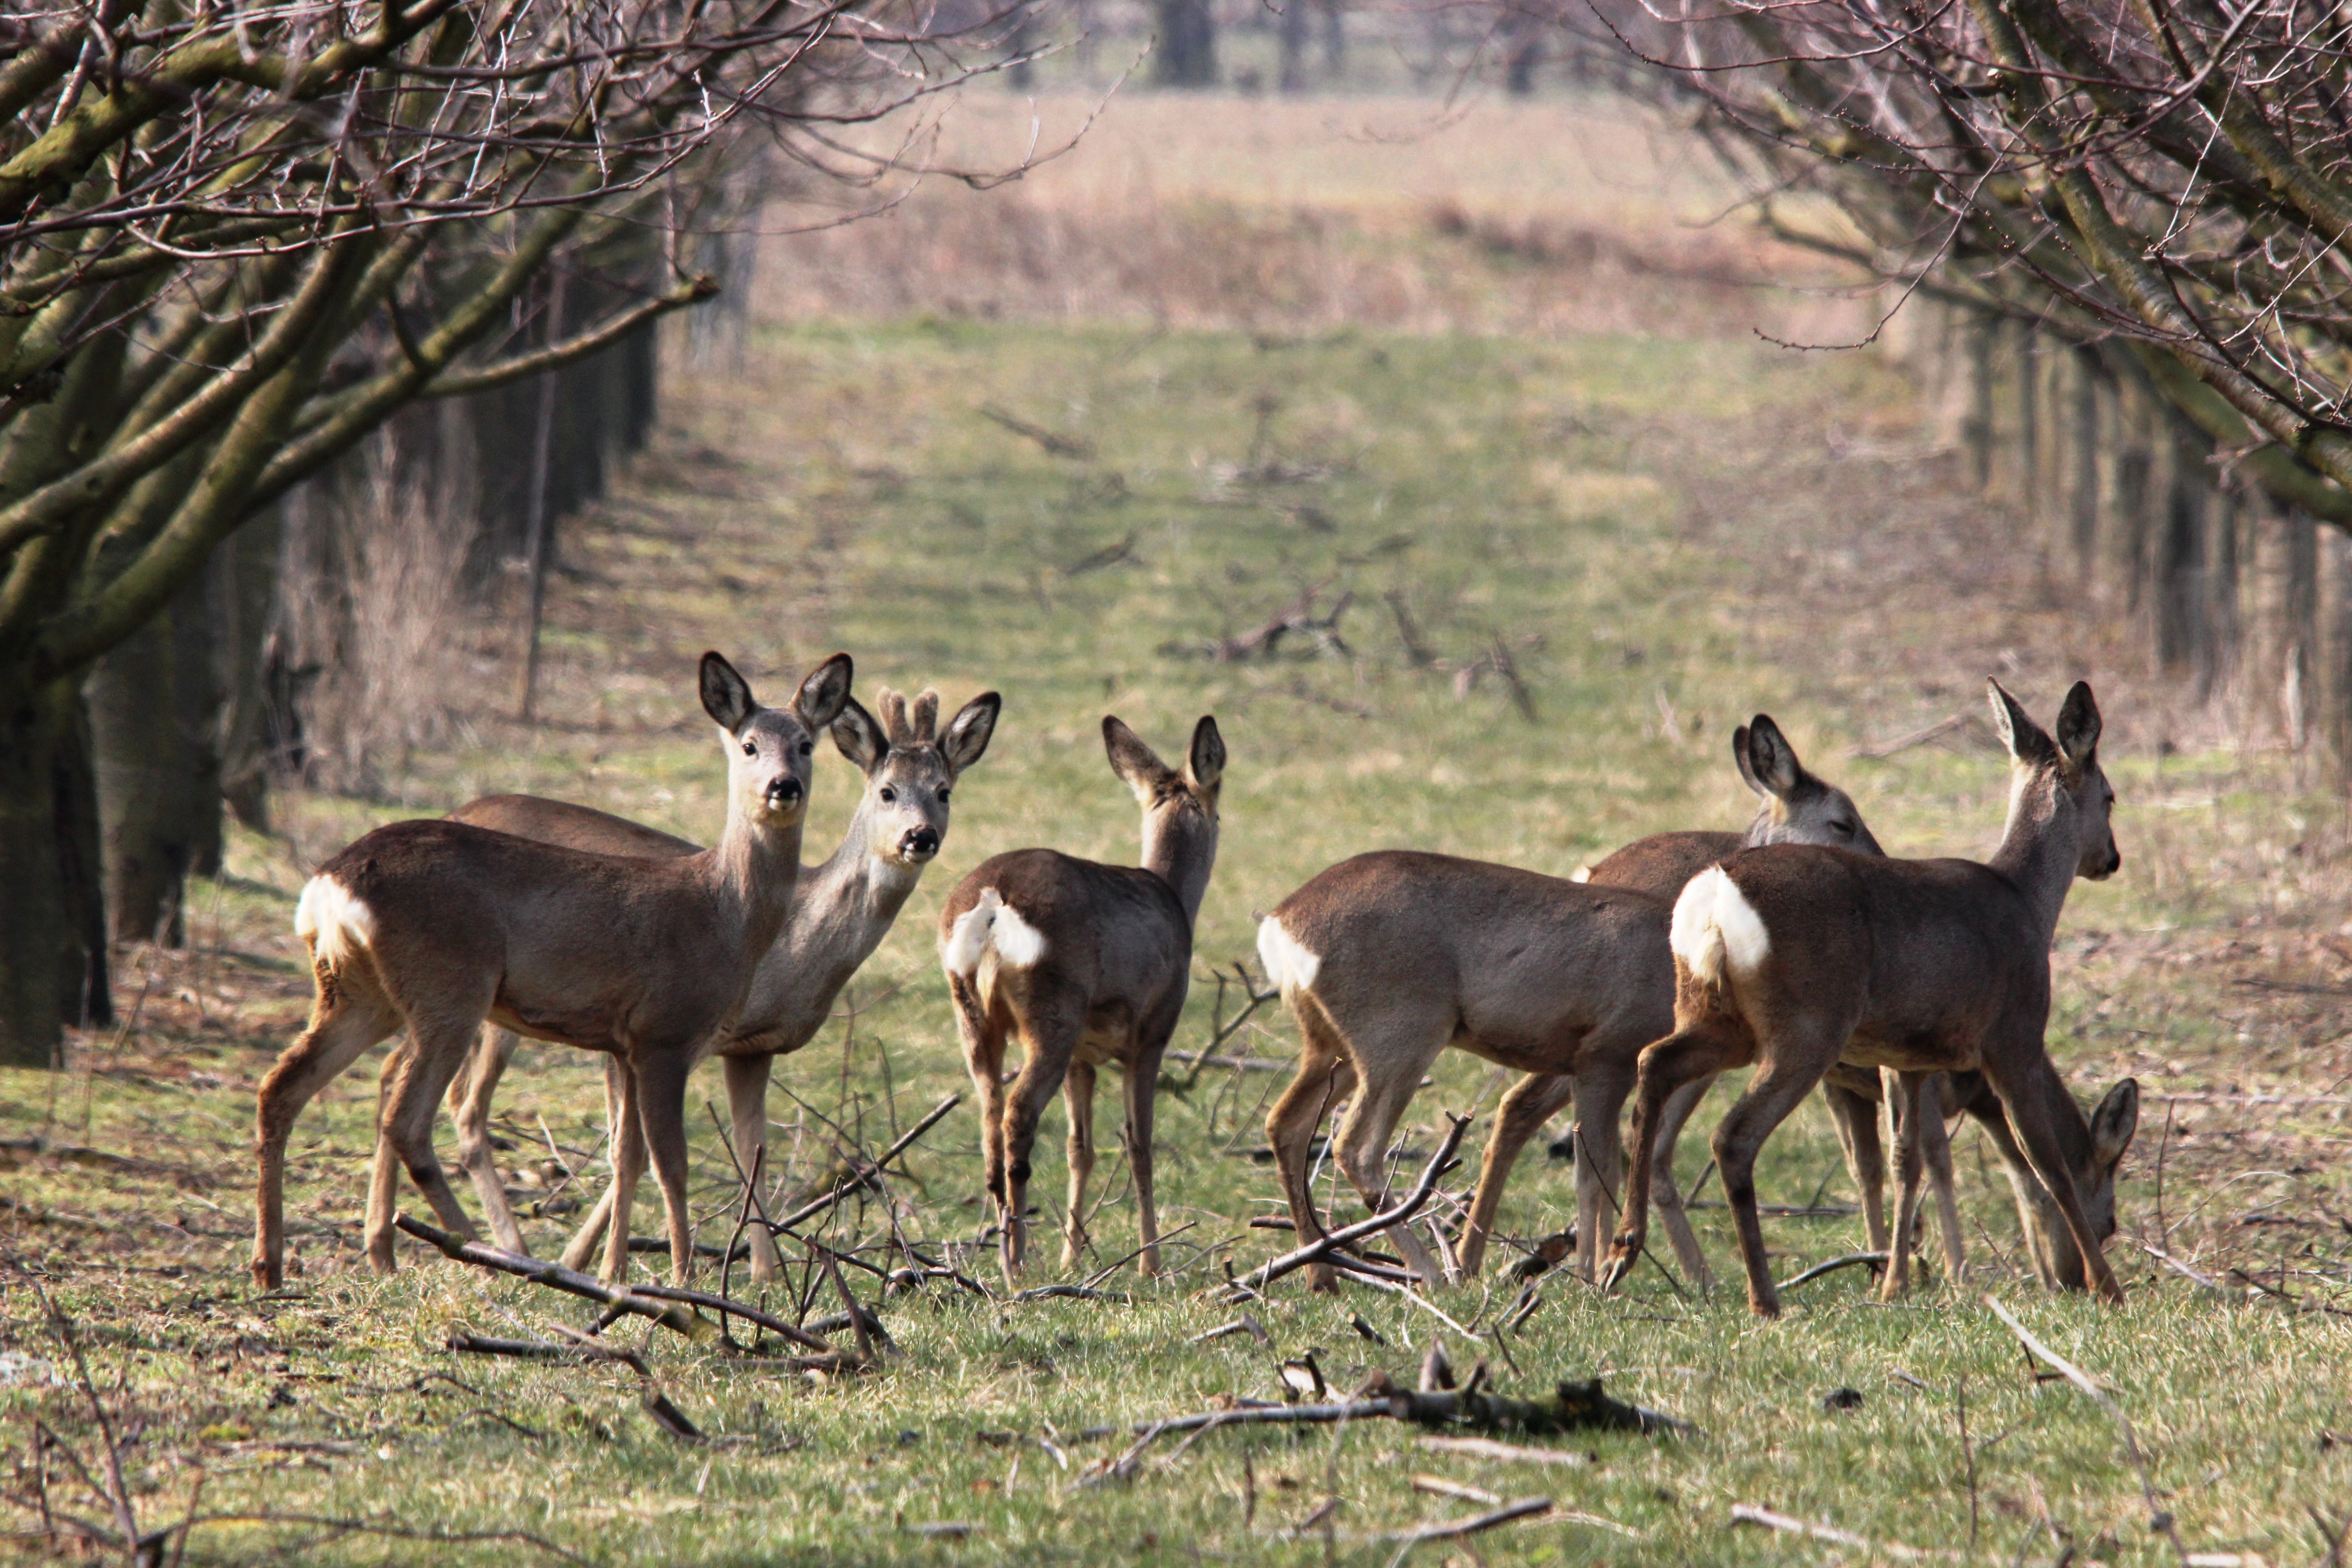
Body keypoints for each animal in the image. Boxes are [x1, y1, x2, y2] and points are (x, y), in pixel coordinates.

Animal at [255, 658, 856, 1298]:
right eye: (748, 745)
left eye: (805, 744)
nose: (783, 786)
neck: (724, 914)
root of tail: (330, 884)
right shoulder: (665, 1033)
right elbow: (672, 1164)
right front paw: (683, 1279)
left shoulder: (624, 1044)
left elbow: (627, 1154)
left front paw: (618, 1274)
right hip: (451, 985)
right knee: (407, 1118)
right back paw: (488, 1255)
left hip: (358, 994)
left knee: (283, 1087)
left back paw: (271, 1265)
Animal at [442, 681, 1002, 1279]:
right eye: (887, 792)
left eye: (944, 792)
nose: (920, 837)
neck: (792, 946)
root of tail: (458, 806)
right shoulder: (654, 1034)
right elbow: (632, 1153)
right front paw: (587, 1259)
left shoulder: (752, 1048)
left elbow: (750, 1151)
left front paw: (765, 1274)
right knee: (467, 1108)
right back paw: (508, 1248)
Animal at [936, 719, 1232, 1279]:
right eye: (1220, 809)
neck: (1175, 901)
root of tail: (992, 903)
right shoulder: (1153, 1033)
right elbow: (1139, 1145)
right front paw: (1151, 1263)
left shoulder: (1084, 1057)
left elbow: (1082, 1149)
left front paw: (1071, 1257)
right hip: (1054, 1008)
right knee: (1018, 1116)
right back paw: (1016, 1262)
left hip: (973, 1014)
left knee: (990, 1119)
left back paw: (1005, 1251)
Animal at [1260, 719, 1882, 1298]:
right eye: (1842, 821)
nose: (1879, 869)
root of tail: (1281, 924)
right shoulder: (1607, 1053)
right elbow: (1598, 1171)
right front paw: (1594, 1277)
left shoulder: (1590, 1062)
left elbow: (1596, 1167)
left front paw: (1596, 1272)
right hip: (1399, 1033)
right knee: (1357, 1147)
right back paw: (1434, 1274)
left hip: (1330, 1045)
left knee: (1287, 1124)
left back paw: (1324, 1274)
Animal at [1608, 681, 2145, 1316]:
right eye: (2110, 796)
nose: (2110, 859)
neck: (2028, 904)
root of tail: (1714, 894)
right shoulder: (2014, 1039)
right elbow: (2050, 1166)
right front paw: (2109, 1288)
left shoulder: (1908, 1058)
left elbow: (1905, 1159)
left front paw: (1895, 1282)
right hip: (1807, 1026)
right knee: (1733, 1136)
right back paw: (1763, 1298)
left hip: (1715, 1016)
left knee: (1654, 1063)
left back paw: (1622, 1250)